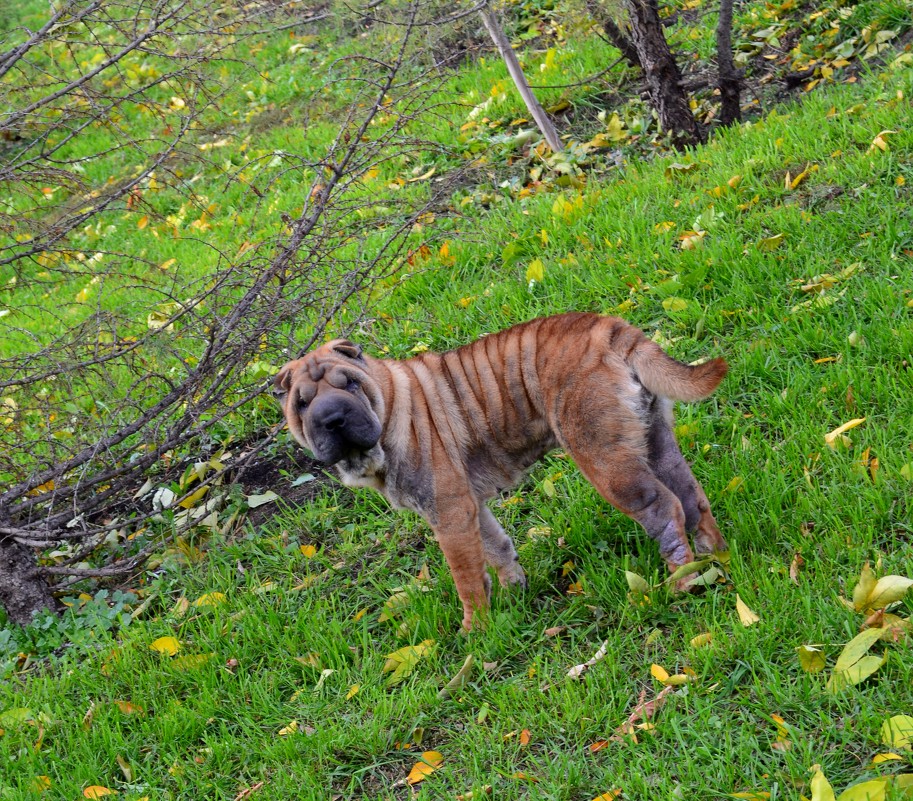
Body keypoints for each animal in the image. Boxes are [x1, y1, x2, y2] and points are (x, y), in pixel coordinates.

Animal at [274, 312, 732, 632]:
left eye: (349, 385)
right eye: (302, 403)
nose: (332, 418)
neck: (387, 407)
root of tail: (608, 327)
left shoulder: (450, 514)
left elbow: (467, 577)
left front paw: (475, 631)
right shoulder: (470, 506)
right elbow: (496, 548)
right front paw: (514, 597)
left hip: (606, 461)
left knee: (664, 509)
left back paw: (682, 582)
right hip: (655, 439)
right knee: (692, 498)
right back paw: (716, 557)